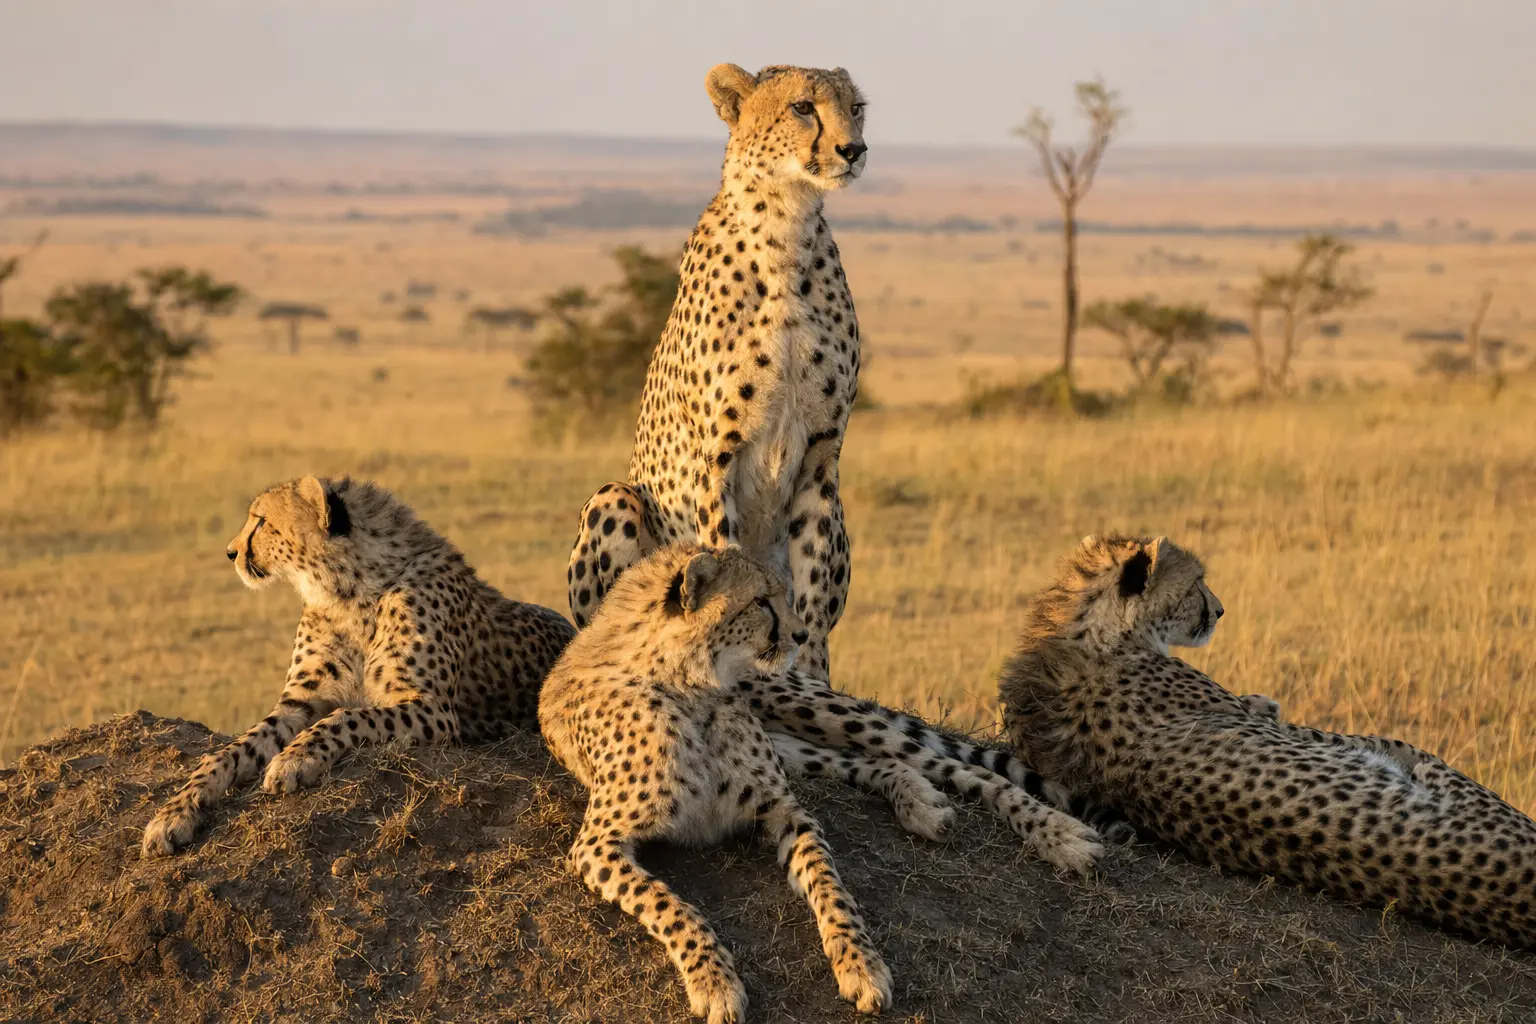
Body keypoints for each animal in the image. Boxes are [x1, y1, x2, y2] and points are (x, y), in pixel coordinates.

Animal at [140, 476, 575, 857]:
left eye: (261, 520)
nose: (230, 552)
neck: (347, 589)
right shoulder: (298, 702)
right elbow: (229, 752)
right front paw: (173, 814)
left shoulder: (434, 709)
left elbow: (347, 717)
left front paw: (294, 759)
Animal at [998, 532, 1536, 949]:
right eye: (1195, 584)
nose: (1220, 610)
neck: (1083, 629)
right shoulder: (1296, 729)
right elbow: (1359, 735)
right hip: (1446, 775)